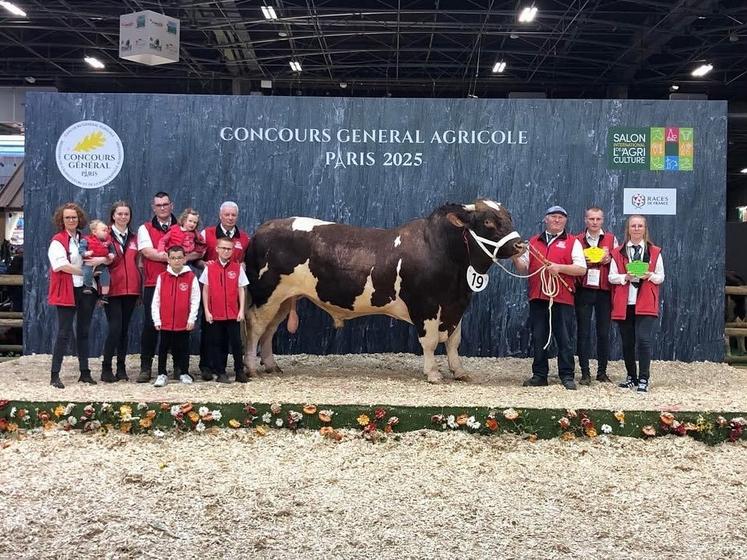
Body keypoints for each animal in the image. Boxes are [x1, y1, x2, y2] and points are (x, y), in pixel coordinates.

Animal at [243, 199, 524, 382]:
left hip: (283, 299)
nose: (520, 245)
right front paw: (433, 373)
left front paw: (459, 371)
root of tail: (262, 229)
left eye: (510, 217)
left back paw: (271, 365)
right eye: (488, 221)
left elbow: (454, 342)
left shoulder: (455, 307)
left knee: (269, 330)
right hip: (266, 296)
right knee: (256, 326)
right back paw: (251, 367)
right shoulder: (426, 306)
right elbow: (431, 341)